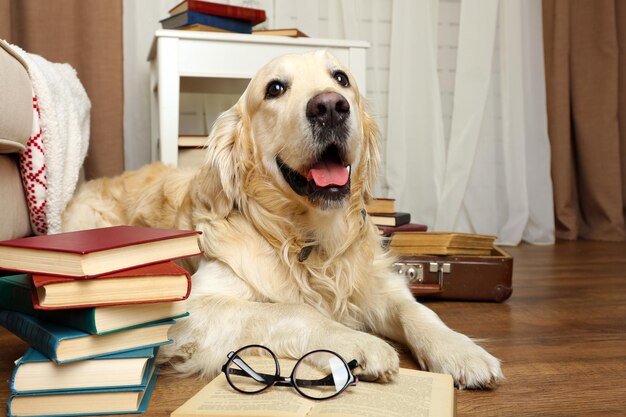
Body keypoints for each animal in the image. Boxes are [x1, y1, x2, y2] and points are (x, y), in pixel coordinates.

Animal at [62, 51, 502, 386]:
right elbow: (293, 310)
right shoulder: (190, 308)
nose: (330, 107)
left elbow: (418, 311)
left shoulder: (380, 285)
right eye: (274, 89)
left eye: (341, 78)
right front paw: (360, 343)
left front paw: (462, 351)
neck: (307, 239)